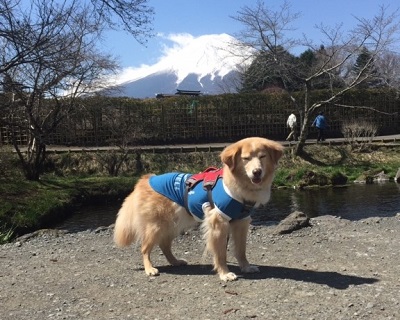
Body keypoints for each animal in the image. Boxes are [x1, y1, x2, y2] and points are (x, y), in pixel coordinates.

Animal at [114, 136, 282, 282]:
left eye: (262, 156)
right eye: (246, 158)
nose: (257, 172)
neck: (241, 186)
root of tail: (146, 179)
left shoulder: (241, 221)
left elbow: (241, 249)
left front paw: (246, 267)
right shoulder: (218, 223)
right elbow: (221, 253)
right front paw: (224, 273)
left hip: (174, 224)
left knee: (164, 244)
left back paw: (175, 261)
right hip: (156, 226)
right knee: (145, 248)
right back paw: (149, 268)